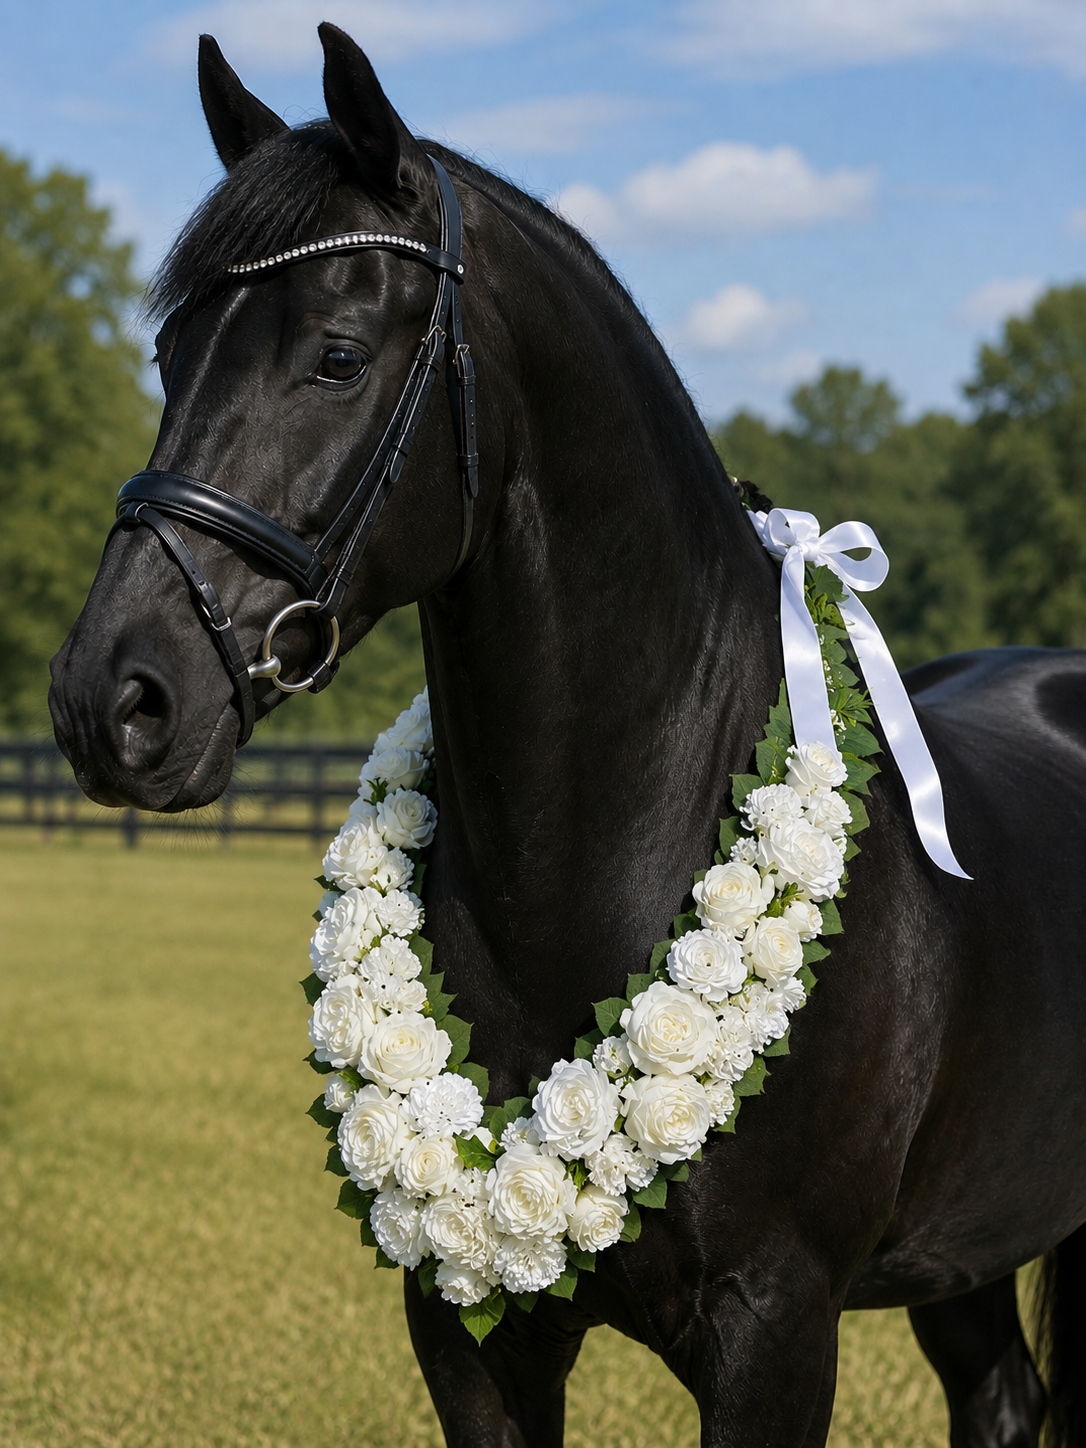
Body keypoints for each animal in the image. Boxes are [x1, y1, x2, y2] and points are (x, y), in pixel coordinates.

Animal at [48, 25, 1086, 1448]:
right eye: (171, 358)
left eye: (336, 355)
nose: (112, 698)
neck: (629, 837)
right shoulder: (472, 1332)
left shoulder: (776, 1332)